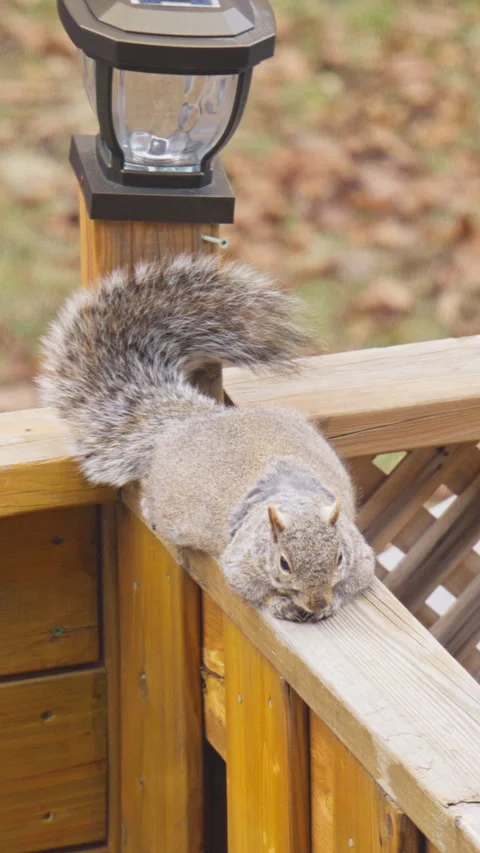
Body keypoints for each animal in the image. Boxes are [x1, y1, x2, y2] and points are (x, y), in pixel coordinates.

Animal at [38, 254, 375, 623]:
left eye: (339, 557)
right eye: (284, 563)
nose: (317, 602)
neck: (296, 500)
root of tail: (201, 417)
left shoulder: (361, 557)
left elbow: (355, 581)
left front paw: (334, 601)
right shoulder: (239, 563)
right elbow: (255, 592)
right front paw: (281, 603)